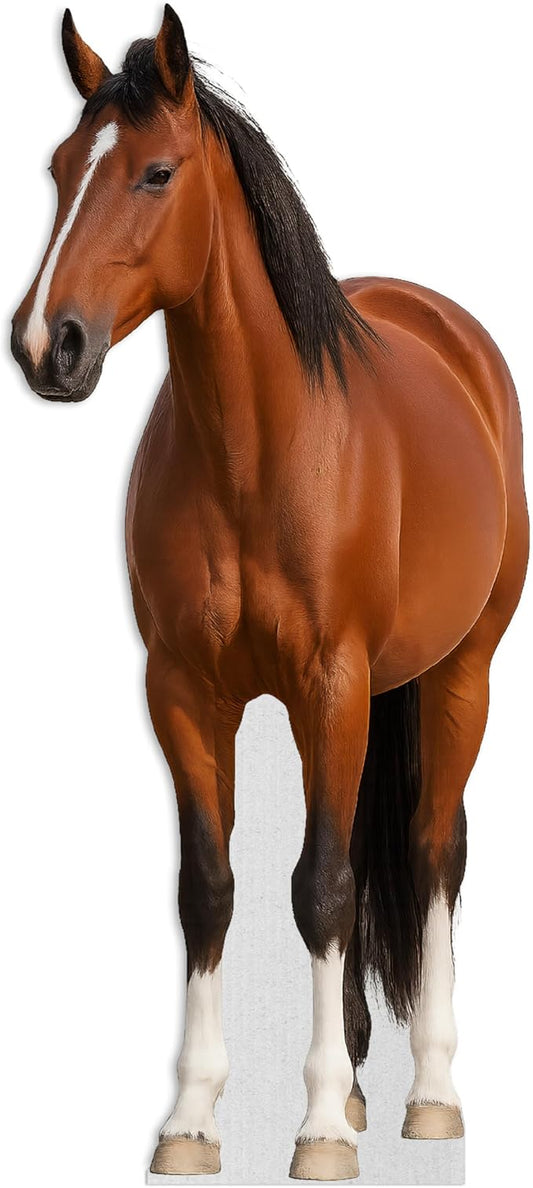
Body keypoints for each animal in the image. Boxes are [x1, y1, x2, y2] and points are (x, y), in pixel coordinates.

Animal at [11, 6, 528, 1181]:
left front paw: (318, 1124)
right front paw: (192, 1118)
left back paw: (428, 1095)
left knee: (431, 851)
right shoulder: (184, 692)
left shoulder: (331, 685)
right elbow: (211, 887)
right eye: (60, 169)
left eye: (155, 172)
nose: (46, 345)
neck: (257, 453)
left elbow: (322, 887)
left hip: (457, 676)